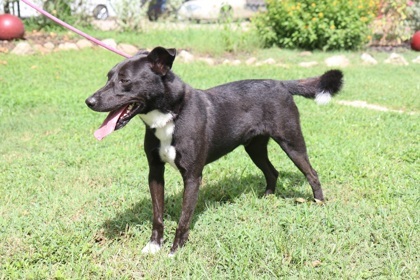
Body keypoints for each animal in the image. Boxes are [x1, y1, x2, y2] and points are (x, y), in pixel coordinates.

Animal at [85, 47, 344, 255]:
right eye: (108, 77)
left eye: (125, 80)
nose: (89, 101)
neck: (172, 114)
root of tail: (281, 83)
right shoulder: (155, 172)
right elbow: (157, 215)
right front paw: (154, 246)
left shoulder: (192, 176)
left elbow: (183, 219)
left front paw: (175, 251)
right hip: (254, 147)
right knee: (272, 171)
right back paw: (266, 197)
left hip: (292, 143)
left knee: (312, 173)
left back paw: (319, 203)